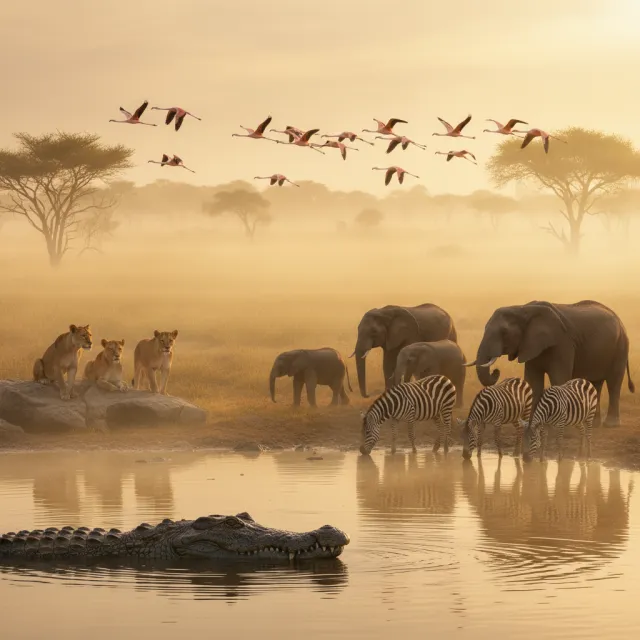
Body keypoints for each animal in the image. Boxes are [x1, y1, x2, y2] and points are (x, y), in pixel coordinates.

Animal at [466, 300, 635, 427]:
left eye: (504, 332)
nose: (496, 371)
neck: (522, 309)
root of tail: (620, 321)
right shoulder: (530, 345)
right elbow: (533, 381)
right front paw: (531, 423)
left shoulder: (562, 343)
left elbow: (559, 378)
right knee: (596, 384)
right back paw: (593, 424)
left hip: (621, 347)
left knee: (613, 383)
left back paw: (611, 424)